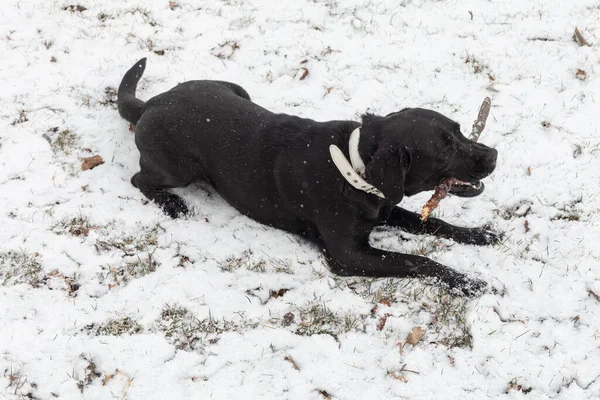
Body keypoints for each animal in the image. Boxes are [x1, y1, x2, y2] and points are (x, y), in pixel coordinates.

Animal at [116, 58, 496, 296]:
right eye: (445, 150)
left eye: (459, 130)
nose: (493, 155)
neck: (354, 167)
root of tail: (149, 104)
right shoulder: (348, 255)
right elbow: (417, 260)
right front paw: (468, 282)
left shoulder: (386, 209)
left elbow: (437, 225)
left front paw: (479, 234)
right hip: (178, 169)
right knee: (139, 179)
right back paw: (171, 204)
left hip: (236, 89)